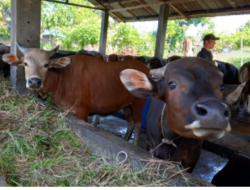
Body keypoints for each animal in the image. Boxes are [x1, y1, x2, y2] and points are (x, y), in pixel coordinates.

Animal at [2, 42, 148, 145]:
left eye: (46, 65)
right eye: (25, 63)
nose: (34, 81)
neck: (62, 79)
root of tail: (143, 67)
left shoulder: (83, 111)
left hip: (138, 103)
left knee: (137, 124)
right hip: (127, 105)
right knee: (130, 123)